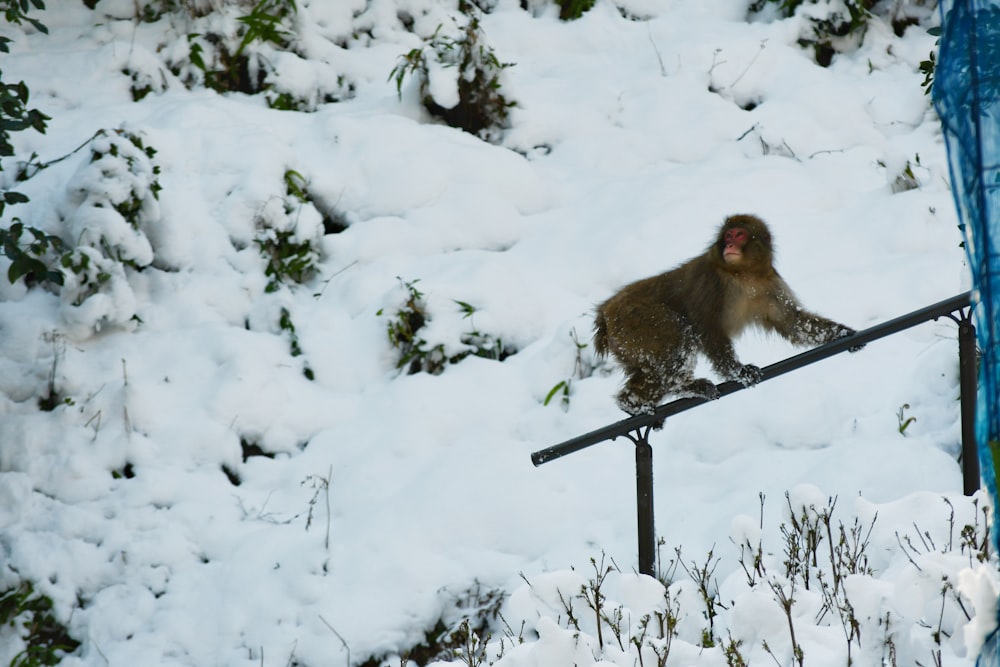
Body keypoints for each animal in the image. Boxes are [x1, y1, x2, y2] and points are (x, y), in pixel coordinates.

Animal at [592, 214, 860, 414]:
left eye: (739, 235)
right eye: (727, 236)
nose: (729, 245)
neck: (743, 274)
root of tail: (605, 314)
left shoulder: (770, 286)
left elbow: (793, 324)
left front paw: (842, 333)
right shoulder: (711, 282)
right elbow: (706, 326)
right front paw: (737, 371)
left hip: (629, 342)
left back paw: (631, 402)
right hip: (636, 323)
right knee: (680, 336)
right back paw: (685, 386)